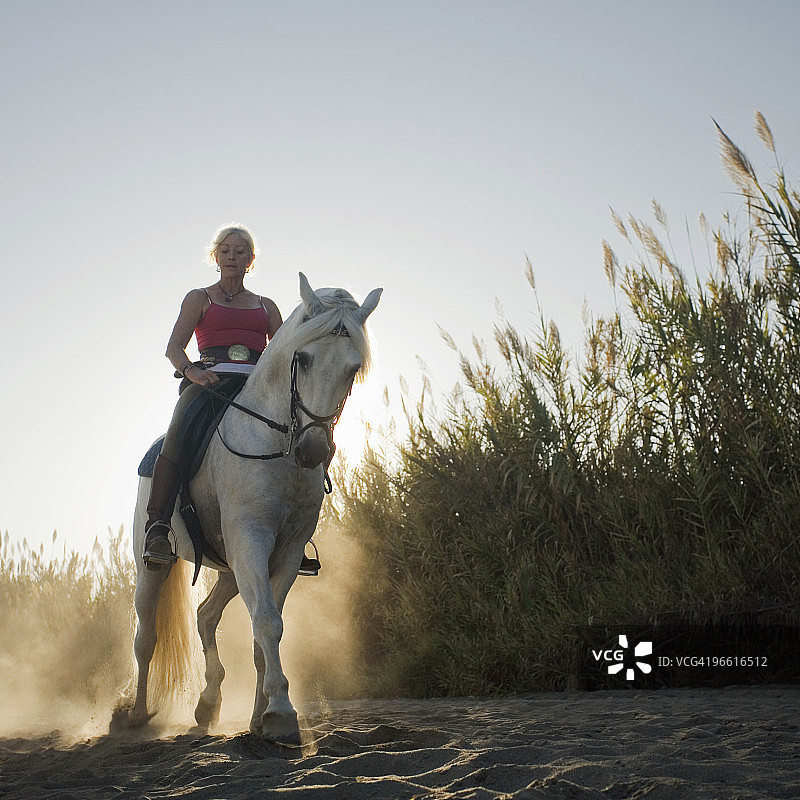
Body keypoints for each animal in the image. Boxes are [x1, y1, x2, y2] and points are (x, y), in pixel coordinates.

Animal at [122, 272, 381, 744]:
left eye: (353, 369)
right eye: (303, 358)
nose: (313, 449)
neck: (277, 445)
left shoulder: (284, 551)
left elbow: (267, 630)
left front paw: (261, 719)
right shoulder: (251, 538)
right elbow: (267, 623)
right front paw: (280, 713)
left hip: (230, 565)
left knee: (206, 616)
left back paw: (207, 705)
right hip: (156, 565)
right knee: (146, 636)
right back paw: (135, 716)